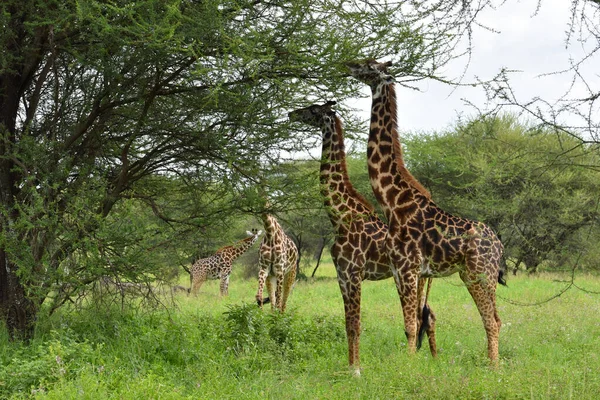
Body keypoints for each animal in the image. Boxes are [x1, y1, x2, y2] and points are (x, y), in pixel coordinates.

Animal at [290, 101, 436, 376]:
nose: (291, 113)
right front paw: (350, 366)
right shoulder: (341, 275)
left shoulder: (354, 273)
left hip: (410, 277)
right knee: (429, 315)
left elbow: (356, 323)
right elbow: (348, 323)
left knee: (417, 317)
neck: (339, 217)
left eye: (313, 109)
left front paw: (356, 370)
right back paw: (435, 359)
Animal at [346, 60, 506, 366]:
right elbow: (413, 322)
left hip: (481, 272)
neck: (392, 202)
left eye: (369, 65)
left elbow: (411, 325)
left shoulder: (407, 268)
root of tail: (500, 245)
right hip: (471, 274)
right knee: (496, 318)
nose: (348, 64)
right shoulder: (404, 271)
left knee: (491, 320)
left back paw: (493, 367)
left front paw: (408, 366)